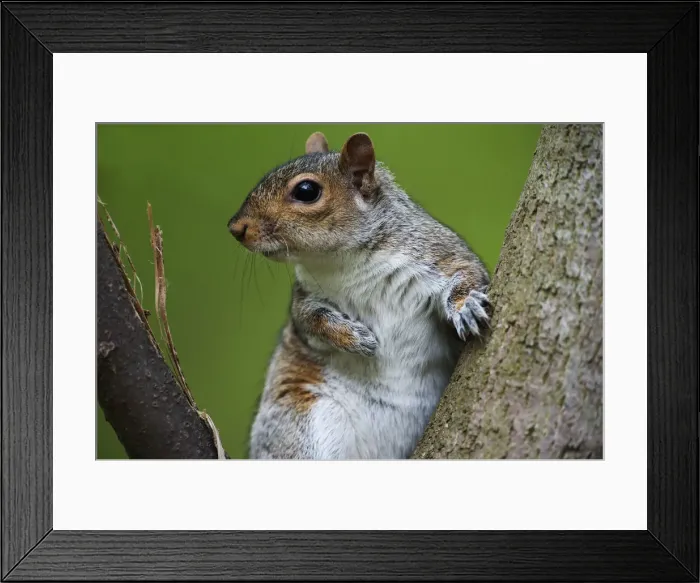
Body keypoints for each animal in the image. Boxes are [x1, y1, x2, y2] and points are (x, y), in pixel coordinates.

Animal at [228, 131, 491, 459]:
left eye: (306, 191)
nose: (236, 227)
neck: (347, 262)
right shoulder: (303, 301)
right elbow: (312, 321)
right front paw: (354, 338)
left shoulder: (440, 254)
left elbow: (466, 273)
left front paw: (464, 306)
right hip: (301, 421)